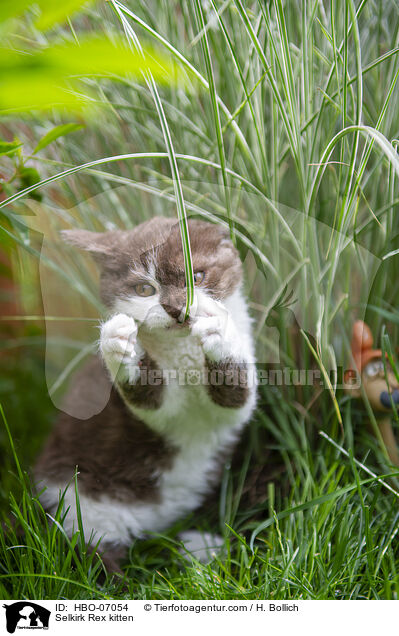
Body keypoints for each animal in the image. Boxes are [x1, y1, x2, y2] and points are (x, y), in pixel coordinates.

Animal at [36, 216, 258, 568]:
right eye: (144, 289)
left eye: (197, 277)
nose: (175, 307)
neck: (182, 352)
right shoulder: (159, 411)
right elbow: (152, 401)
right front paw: (118, 343)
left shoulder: (230, 407)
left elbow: (237, 398)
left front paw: (219, 332)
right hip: (76, 503)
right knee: (94, 559)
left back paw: (201, 547)